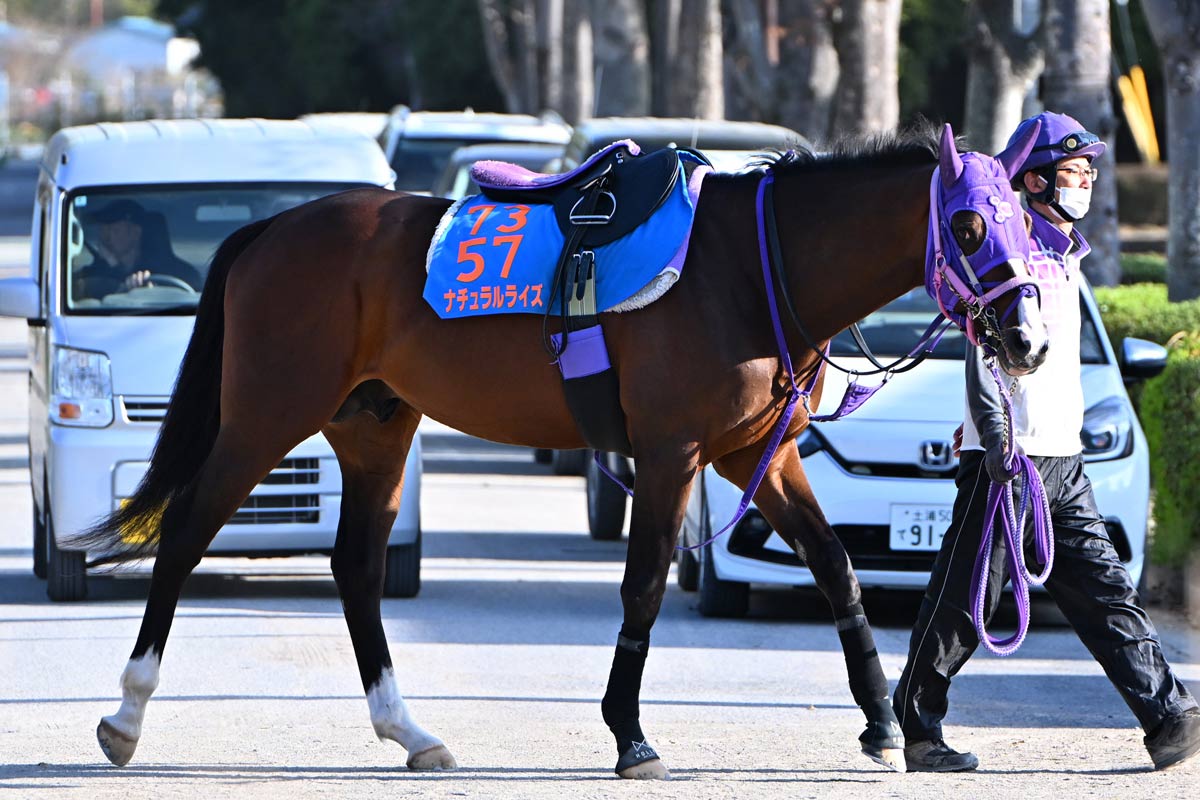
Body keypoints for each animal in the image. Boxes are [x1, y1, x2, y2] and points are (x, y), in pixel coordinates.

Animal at [80, 121, 1047, 779]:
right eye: (969, 227)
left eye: (1031, 224)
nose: (1030, 339)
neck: (747, 266)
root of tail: (269, 231)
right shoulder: (672, 453)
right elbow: (646, 585)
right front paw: (630, 733)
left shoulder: (755, 455)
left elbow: (834, 563)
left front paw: (886, 723)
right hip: (267, 413)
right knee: (186, 530)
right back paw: (126, 714)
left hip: (374, 427)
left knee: (355, 567)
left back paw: (409, 730)